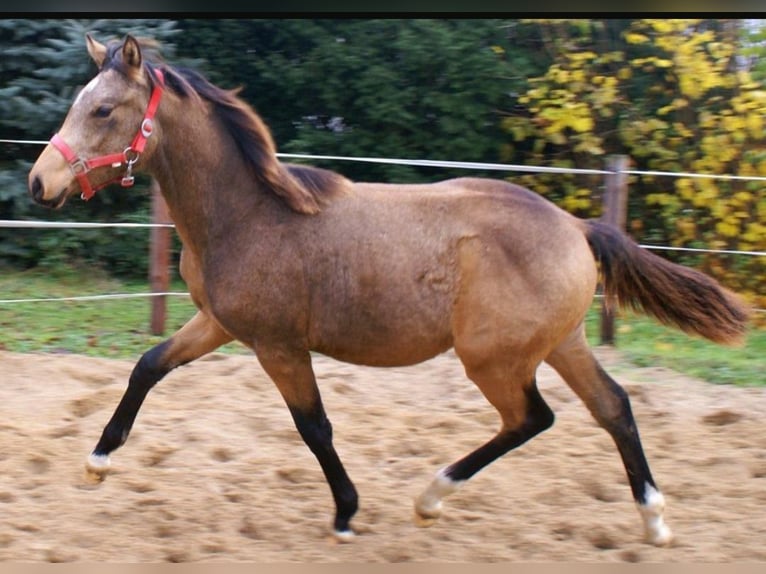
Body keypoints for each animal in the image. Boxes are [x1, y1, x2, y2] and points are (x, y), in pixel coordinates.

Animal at [28, 33, 752, 548]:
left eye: (103, 109)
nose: (40, 182)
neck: (250, 214)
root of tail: (575, 225)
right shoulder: (220, 324)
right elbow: (148, 366)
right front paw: (97, 461)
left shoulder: (277, 345)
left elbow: (314, 426)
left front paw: (347, 513)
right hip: (559, 342)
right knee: (614, 407)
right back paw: (654, 520)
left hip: (494, 357)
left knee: (533, 418)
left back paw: (431, 496)